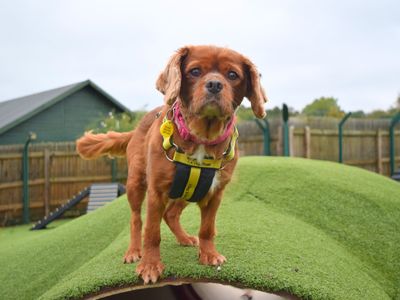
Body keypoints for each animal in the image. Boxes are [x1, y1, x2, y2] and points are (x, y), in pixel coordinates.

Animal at [76, 44, 268, 284]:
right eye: (195, 71)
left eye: (233, 75)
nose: (214, 85)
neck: (201, 137)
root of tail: (137, 127)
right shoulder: (156, 191)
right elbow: (151, 232)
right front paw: (150, 266)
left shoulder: (214, 193)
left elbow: (207, 228)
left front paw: (209, 254)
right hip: (136, 184)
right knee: (136, 219)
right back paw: (133, 251)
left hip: (188, 191)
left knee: (171, 214)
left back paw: (184, 238)